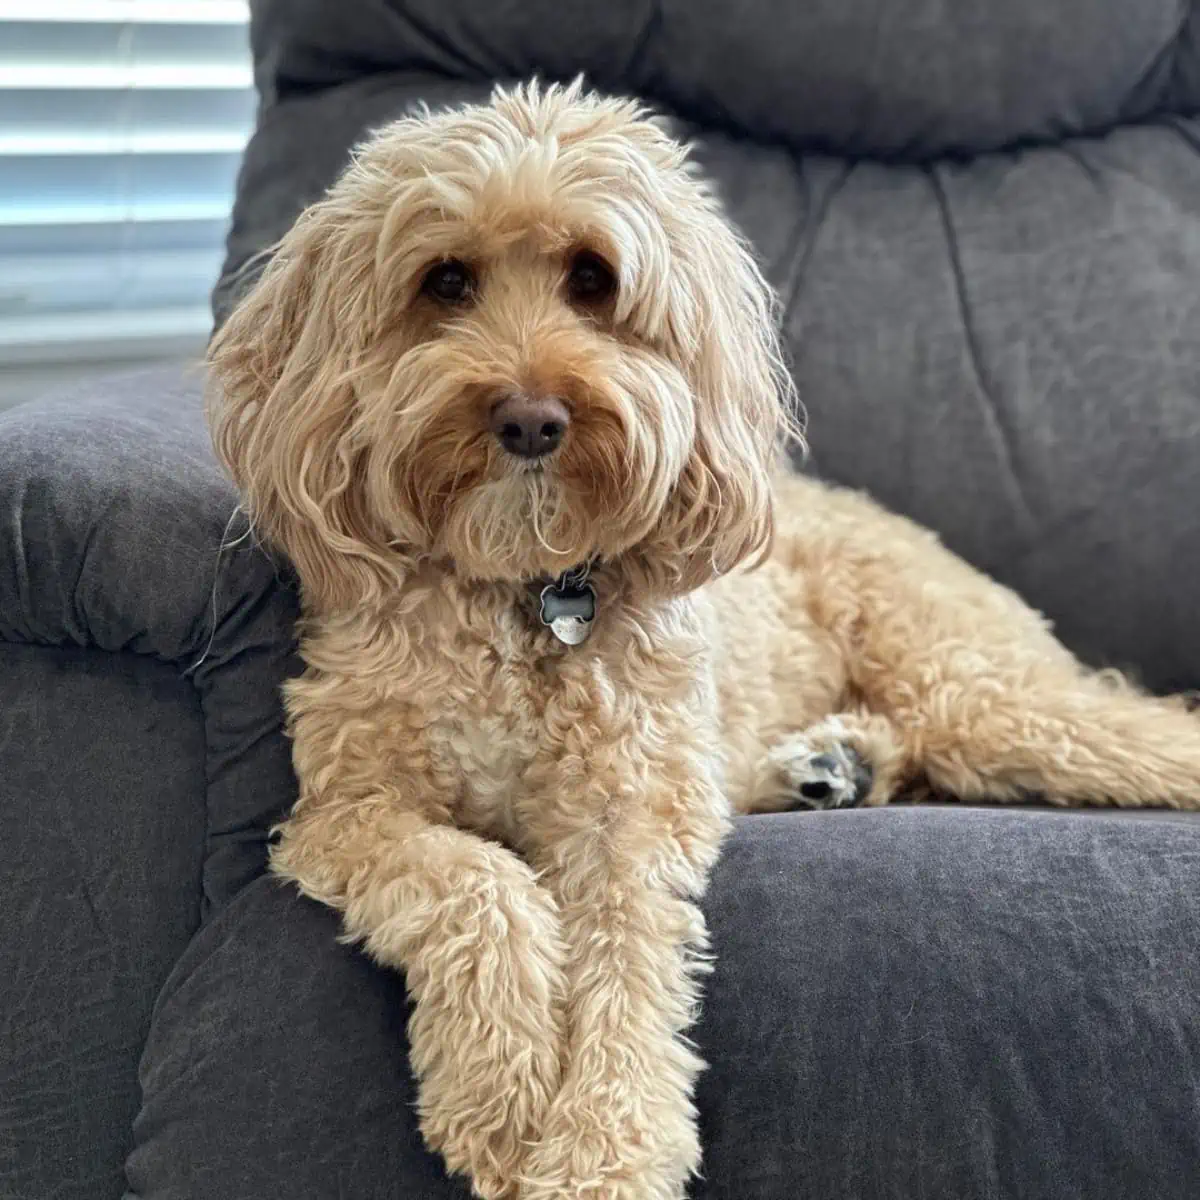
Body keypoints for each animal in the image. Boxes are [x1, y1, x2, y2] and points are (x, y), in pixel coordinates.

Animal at [206, 79, 1200, 1195]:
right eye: (445, 280)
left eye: (593, 278)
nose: (531, 418)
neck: (522, 592)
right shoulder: (348, 812)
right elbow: (484, 884)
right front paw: (500, 1096)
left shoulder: (629, 813)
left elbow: (628, 964)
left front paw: (604, 1152)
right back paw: (830, 765)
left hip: (975, 688)